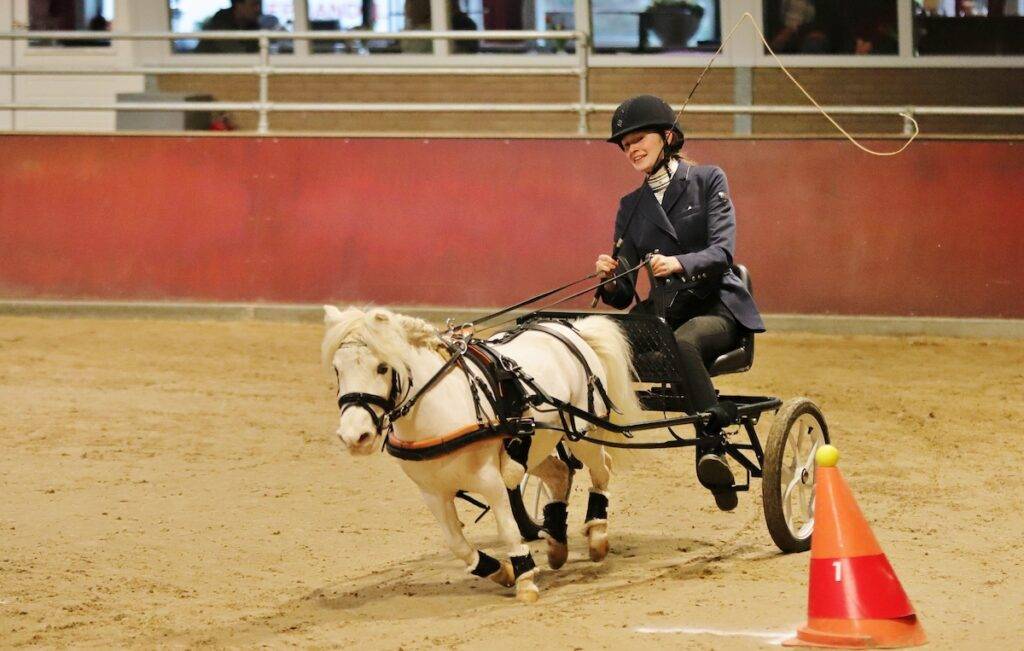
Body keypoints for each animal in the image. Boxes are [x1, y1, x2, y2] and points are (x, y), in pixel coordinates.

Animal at [321, 305, 645, 602]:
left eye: (382, 367)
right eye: (336, 368)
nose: (354, 436)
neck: (439, 409)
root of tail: (569, 329)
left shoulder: (490, 480)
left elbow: (508, 529)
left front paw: (525, 581)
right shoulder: (432, 492)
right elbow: (456, 543)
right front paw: (501, 571)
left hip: (581, 433)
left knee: (602, 468)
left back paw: (598, 536)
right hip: (536, 445)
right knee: (559, 473)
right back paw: (555, 543)